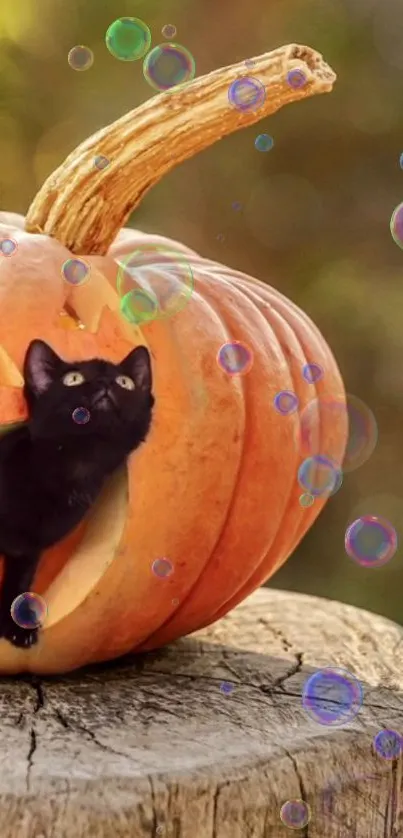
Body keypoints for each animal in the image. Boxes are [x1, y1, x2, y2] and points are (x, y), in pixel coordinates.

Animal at [0, 340, 155, 648]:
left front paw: (17, 627)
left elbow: (19, 584)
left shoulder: (27, 549)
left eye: (125, 382)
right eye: (73, 379)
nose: (105, 383)